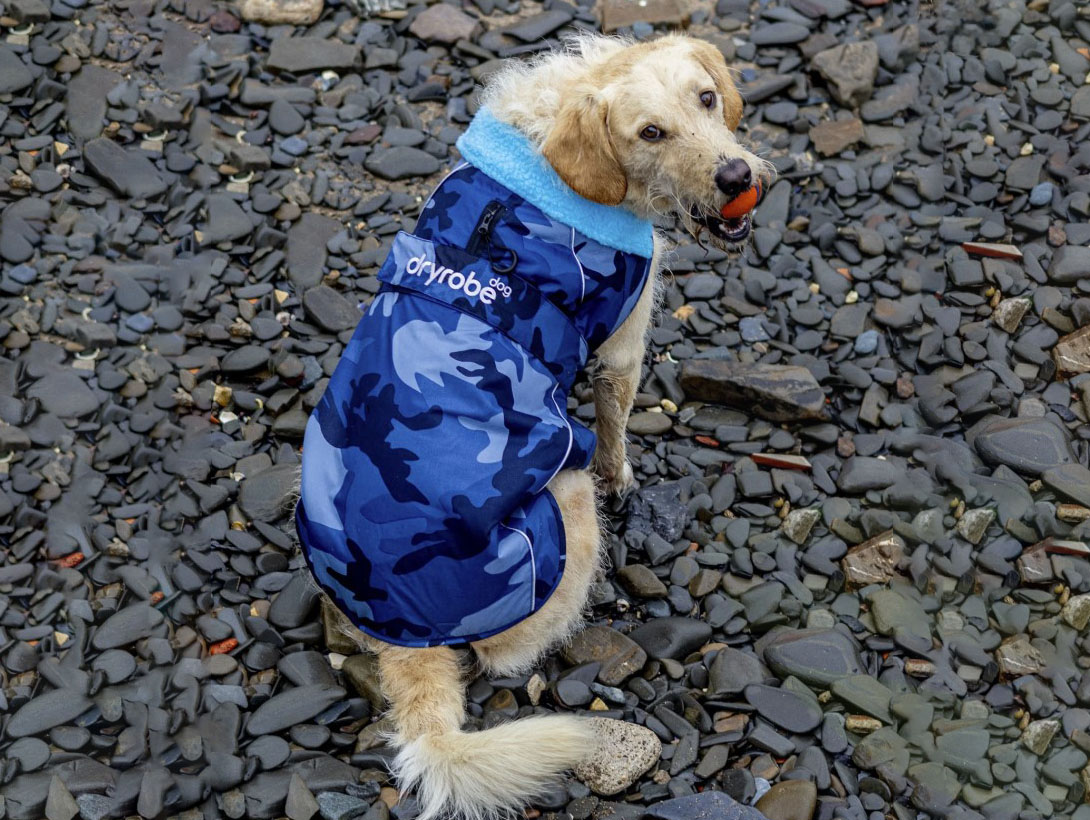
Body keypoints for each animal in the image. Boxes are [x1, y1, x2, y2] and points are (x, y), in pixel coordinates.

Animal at [294, 33, 771, 820]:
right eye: (651, 133)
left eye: (706, 99)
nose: (735, 175)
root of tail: (410, 637)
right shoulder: (624, 342)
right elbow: (615, 425)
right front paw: (625, 476)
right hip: (564, 512)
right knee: (507, 651)